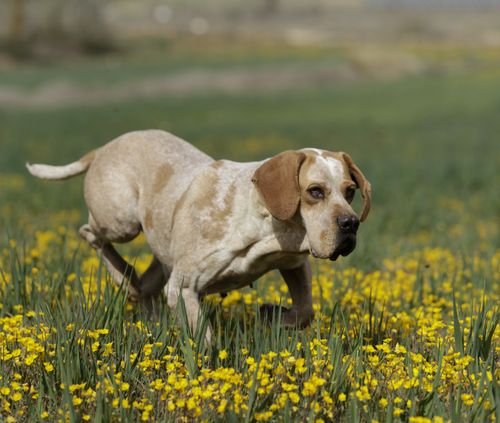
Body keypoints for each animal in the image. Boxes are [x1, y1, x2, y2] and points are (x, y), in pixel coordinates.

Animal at [27, 130, 372, 344]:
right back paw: (122, 275)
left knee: (146, 284)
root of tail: (103, 148)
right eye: (315, 191)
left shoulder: (294, 263)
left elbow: (304, 311)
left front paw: (272, 316)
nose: (350, 224)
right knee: (90, 233)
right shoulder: (183, 287)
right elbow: (203, 338)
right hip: (121, 221)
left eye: (350, 191)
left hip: (161, 247)